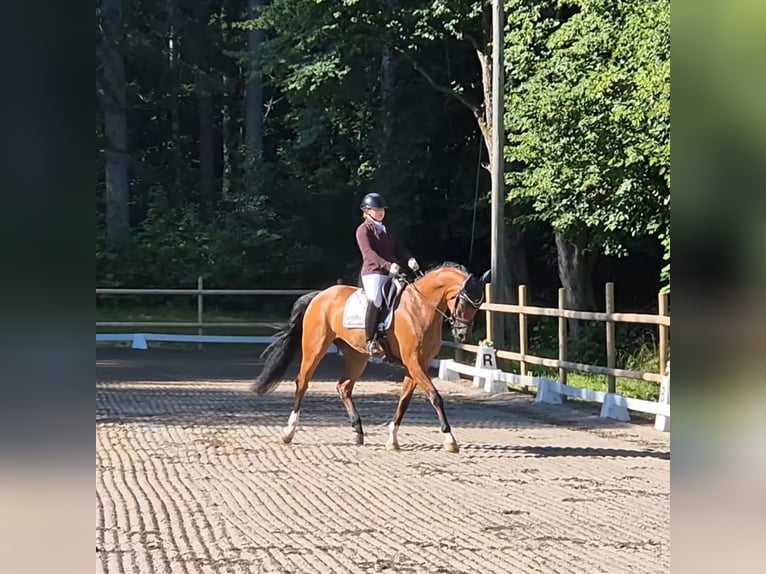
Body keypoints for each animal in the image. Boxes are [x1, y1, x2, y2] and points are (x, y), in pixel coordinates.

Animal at [252, 264, 492, 454]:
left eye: (478, 304)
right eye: (462, 301)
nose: (462, 334)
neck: (420, 308)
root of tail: (320, 295)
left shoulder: (417, 365)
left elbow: (404, 401)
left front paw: (392, 439)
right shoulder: (414, 363)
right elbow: (435, 397)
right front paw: (450, 440)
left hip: (357, 356)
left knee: (343, 387)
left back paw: (358, 431)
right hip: (315, 348)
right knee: (302, 382)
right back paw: (289, 432)